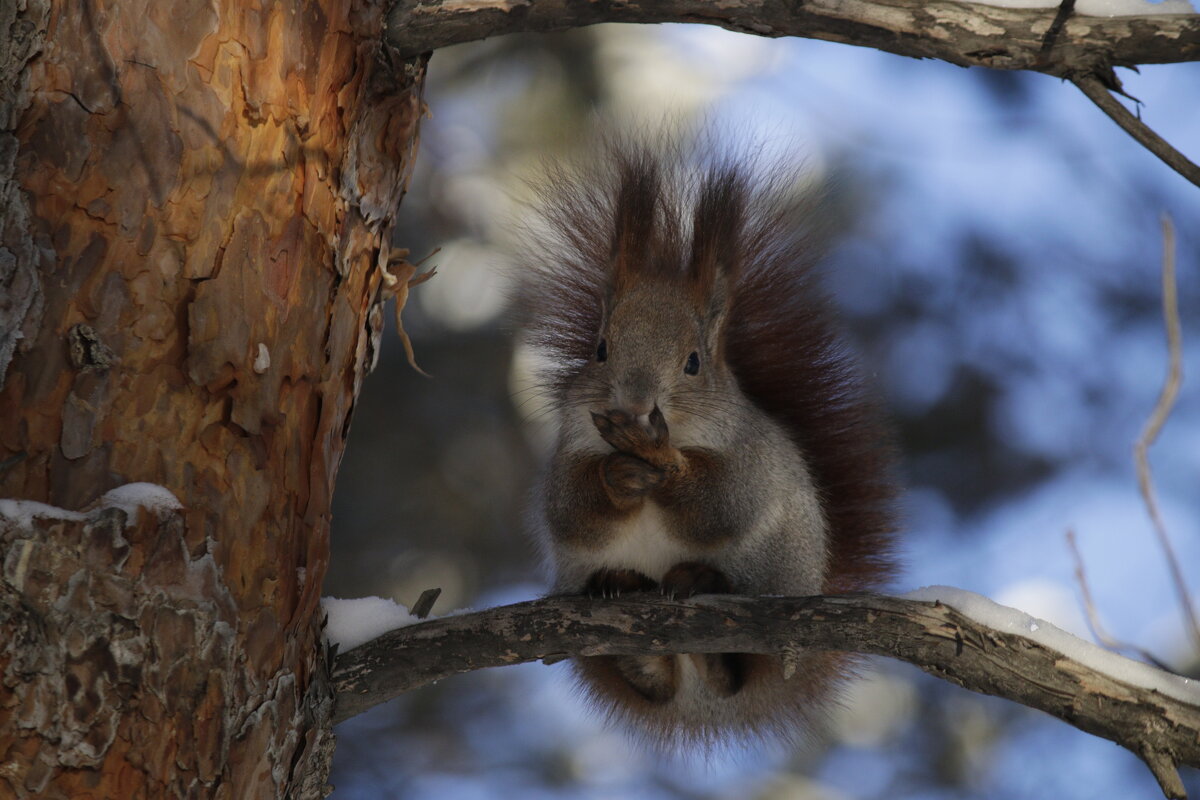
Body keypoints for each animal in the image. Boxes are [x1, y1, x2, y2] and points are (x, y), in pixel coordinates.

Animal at [516, 137, 902, 753]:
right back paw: (624, 606)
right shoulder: (567, 455)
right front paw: (616, 476)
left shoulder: (749, 460)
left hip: (774, 575)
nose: (635, 407)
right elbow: (571, 508)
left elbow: (722, 502)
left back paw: (701, 594)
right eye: (600, 350)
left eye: (693, 363)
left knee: (732, 664)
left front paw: (665, 466)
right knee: (657, 675)